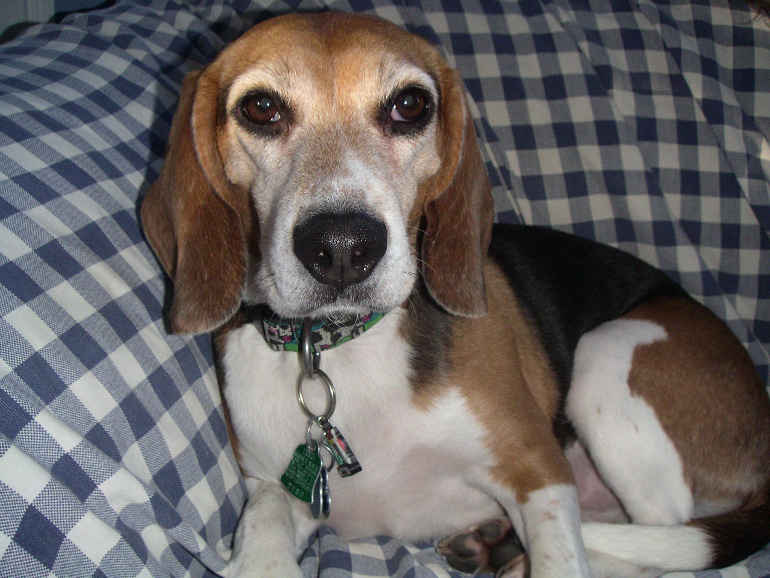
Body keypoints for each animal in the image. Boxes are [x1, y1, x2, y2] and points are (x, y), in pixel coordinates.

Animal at [141, 12, 770, 578]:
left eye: (410, 105)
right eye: (261, 108)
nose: (342, 246)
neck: (344, 348)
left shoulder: (539, 469)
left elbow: (565, 558)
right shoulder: (276, 489)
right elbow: (262, 529)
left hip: (610, 353)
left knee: (664, 535)